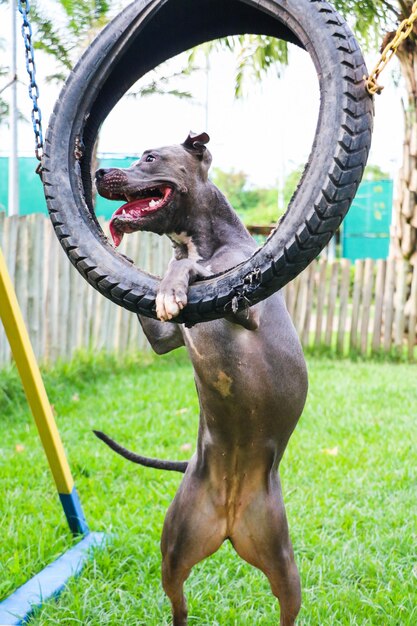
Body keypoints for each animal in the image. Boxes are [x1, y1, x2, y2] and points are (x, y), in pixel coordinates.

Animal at [95, 133, 308, 624]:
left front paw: (173, 284)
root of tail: (229, 519)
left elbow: (189, 270)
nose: (98, 172)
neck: (199, 241)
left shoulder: (244, 305)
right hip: (174, 552)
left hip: (285, 570)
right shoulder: (162, 338)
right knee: (179, 603)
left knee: (287, 607)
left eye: (150, 157)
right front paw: (121, 259)